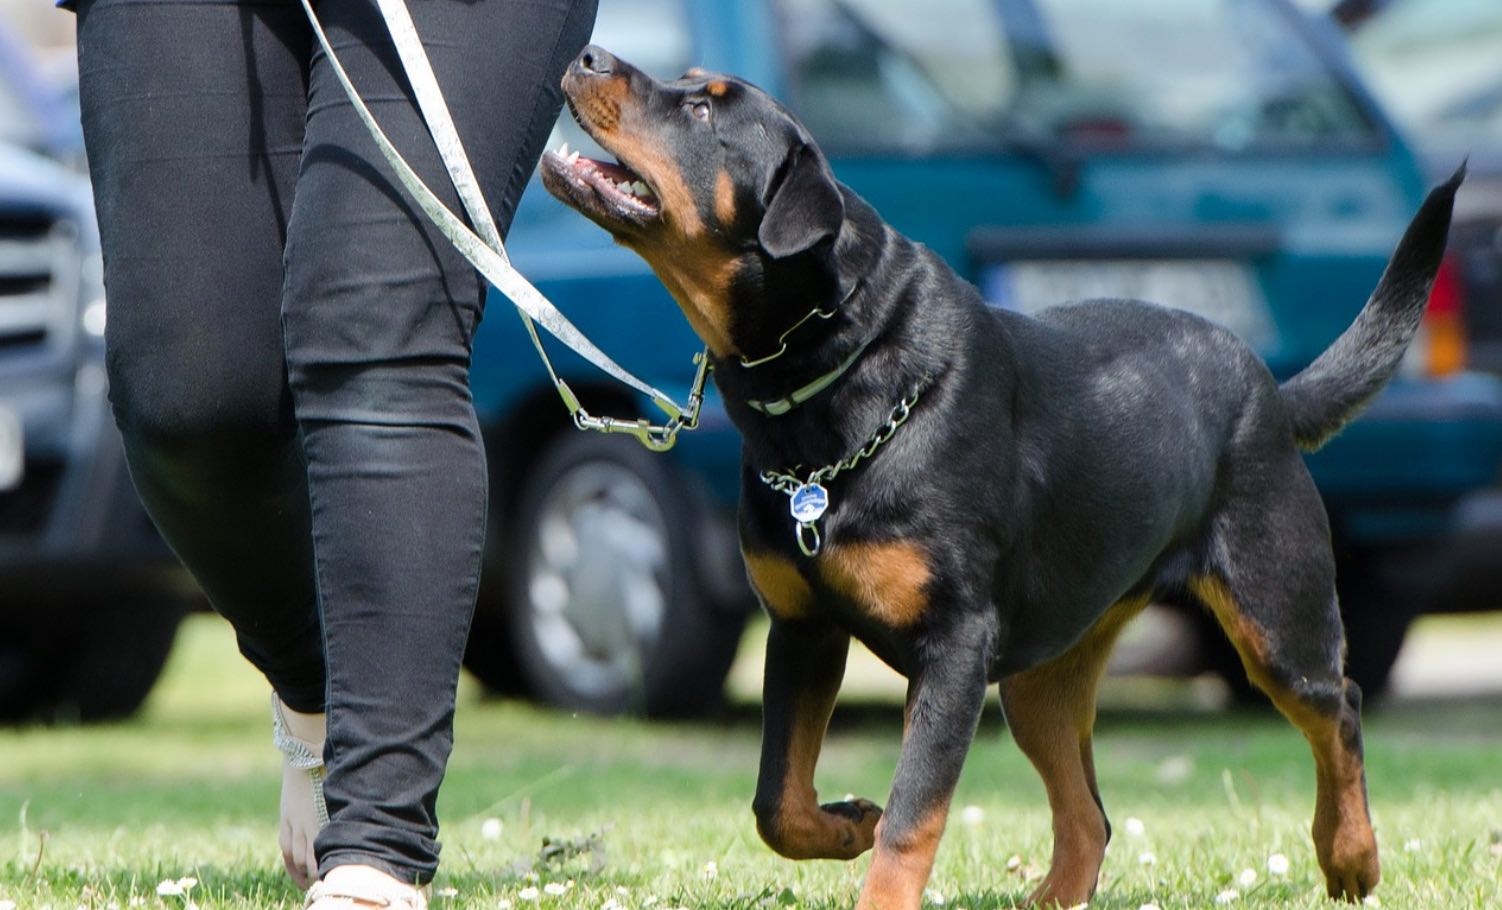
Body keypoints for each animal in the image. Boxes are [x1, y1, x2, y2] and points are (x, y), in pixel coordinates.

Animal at [537, 46, 1453, 910]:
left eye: (702, 109)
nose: (588, 55)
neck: (833, 373)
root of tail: (1271, 388)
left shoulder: (954, 647)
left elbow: (914, 817)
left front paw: (878, 860)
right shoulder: (802, 627)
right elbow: (777, 803)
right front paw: (846, 823)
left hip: (1274, 609)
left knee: (1338, 708)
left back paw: (1351, 856)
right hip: (1040, 676)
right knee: (1089, 814)